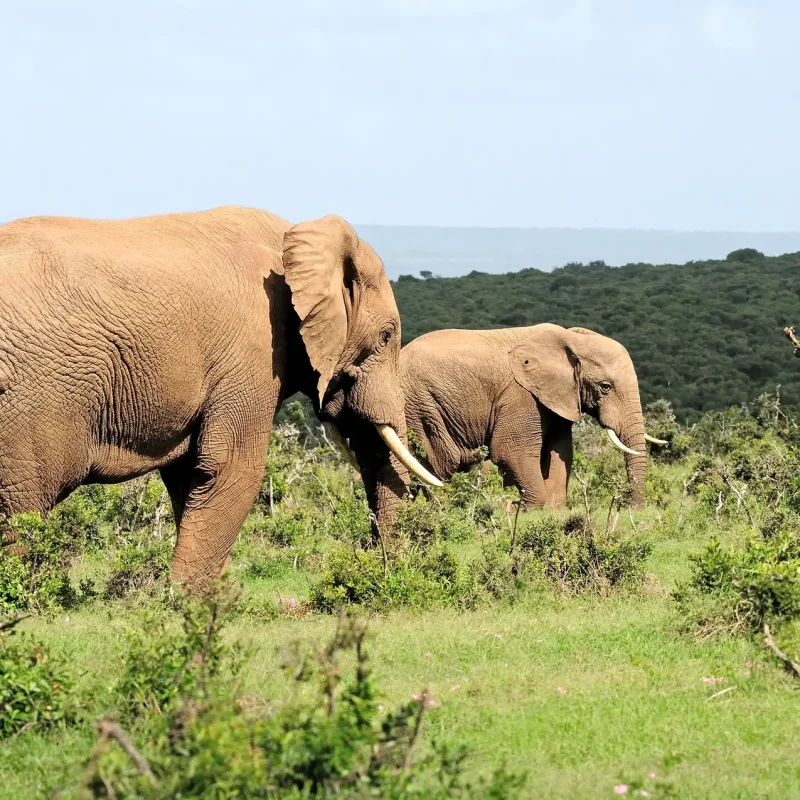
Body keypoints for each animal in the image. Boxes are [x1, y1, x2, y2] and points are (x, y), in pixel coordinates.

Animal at [0, 206, 440, 589]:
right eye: (385, 337)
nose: (386, 571)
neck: (292, 239)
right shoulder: (254, 349)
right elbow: (232, 469)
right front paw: (192, 602)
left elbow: (189, 473)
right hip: (30, 400)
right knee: (23, 507)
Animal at [330, 323, 666, 531]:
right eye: (605, 386)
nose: (633, 509)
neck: (569, 339)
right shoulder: (520, 395)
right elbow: (511, 452)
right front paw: (518, 510)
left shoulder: (554, 397)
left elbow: (560, 452)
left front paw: (554, 511)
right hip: (418, 407)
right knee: (435, 464)